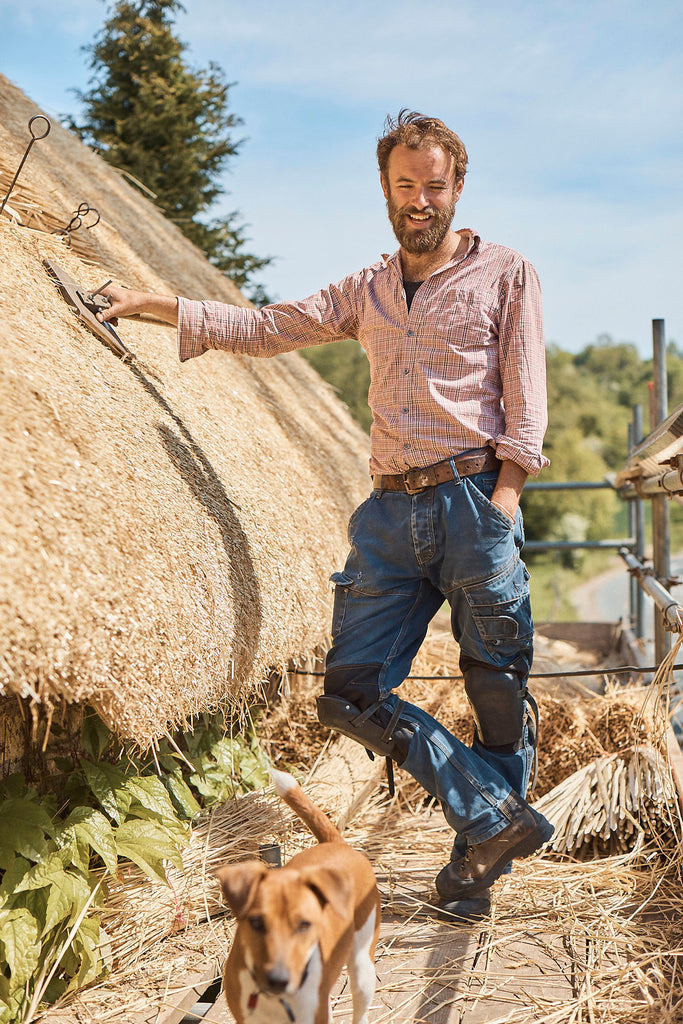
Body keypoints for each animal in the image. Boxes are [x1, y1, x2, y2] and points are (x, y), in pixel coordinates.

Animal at [216, 770, 382, 1024]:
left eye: (305, 925)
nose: (278, 979)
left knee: (360, 1010)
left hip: (363, 966)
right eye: (256, 922)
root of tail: (337, 844)